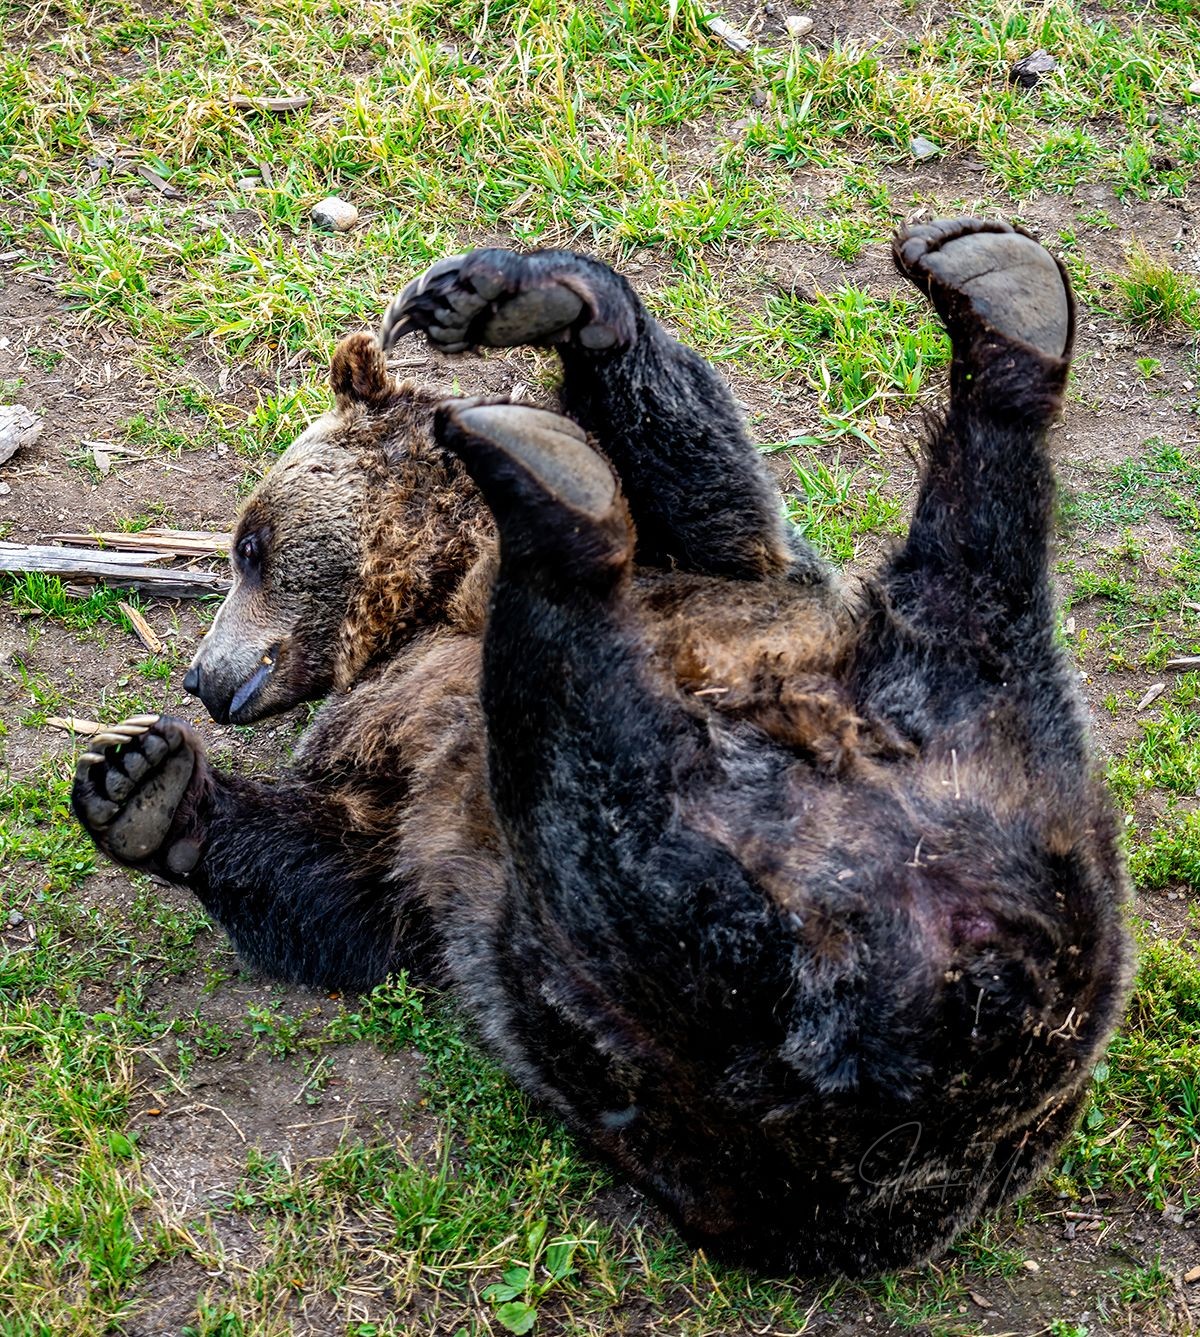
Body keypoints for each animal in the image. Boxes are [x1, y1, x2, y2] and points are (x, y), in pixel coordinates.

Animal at [72, 218, 1132, 1278]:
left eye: (250, 545)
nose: (200, 677)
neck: (435, 594)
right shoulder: (393, 777)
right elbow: (338, 876)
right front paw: (143, 784)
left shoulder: (712, 568)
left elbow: (701, 473)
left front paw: (520, 297)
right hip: (693, 991)